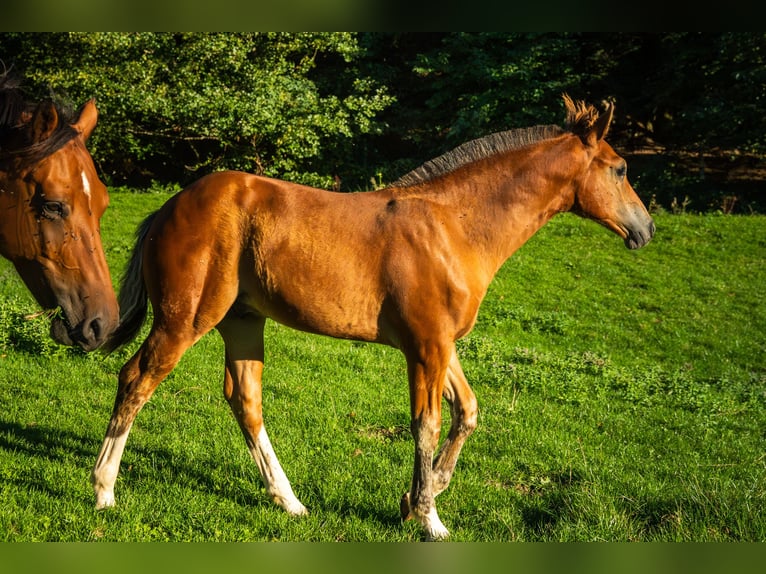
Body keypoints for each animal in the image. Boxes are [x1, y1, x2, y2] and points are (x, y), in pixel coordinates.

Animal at [94, 95, 655, 540]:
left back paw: (289, 501)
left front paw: (420, 497)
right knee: (136, 379)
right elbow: (426, 424)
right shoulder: (426, 348)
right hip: (183, 321)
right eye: (621, 169)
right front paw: (429, 518)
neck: (454, 226)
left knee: (244, 400)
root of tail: (169, 206)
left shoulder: (439, 344)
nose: (646, 229)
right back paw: (103, 490)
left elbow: (467, 412)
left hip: (244, 322)